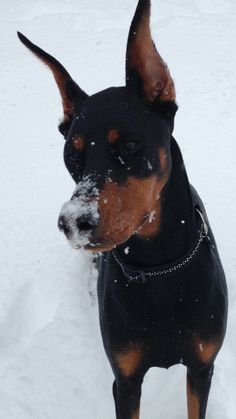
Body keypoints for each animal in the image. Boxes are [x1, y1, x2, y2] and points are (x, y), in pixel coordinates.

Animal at [17, 0, 228, 418]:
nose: (73, 222)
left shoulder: (201, 368)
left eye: (130, 144)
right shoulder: (126, 381)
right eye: (71, 155)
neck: (159, 271)